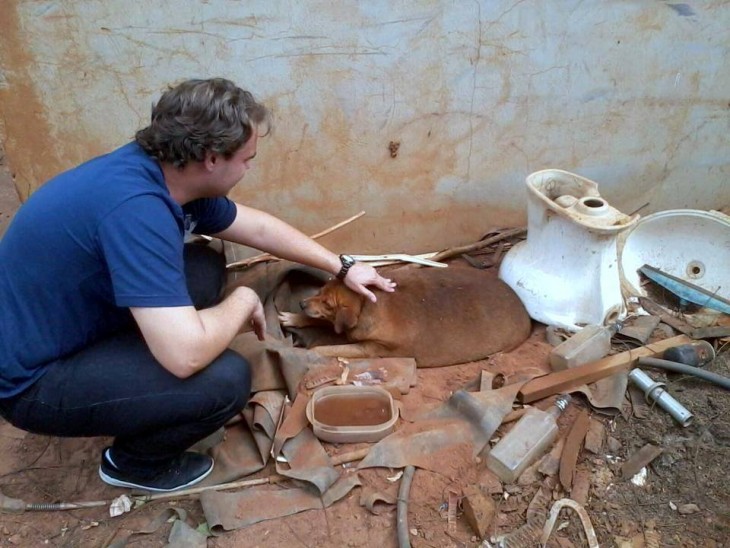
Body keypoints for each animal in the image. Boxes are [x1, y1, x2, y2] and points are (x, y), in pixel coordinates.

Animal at [278, 266, 528, 368]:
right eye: (319, 290)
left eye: (328, 304)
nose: (301, 303)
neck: (368, 304)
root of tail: (524, 312)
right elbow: (318, 320)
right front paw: (293, 318)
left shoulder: (370, 348)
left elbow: (326, 348)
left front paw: (307, 351)